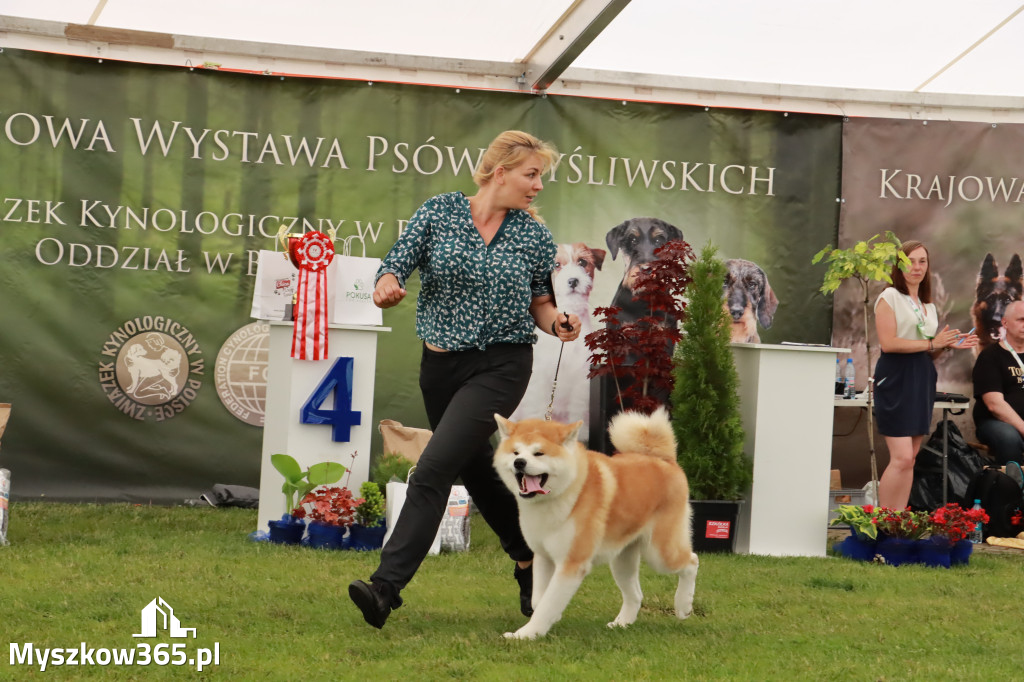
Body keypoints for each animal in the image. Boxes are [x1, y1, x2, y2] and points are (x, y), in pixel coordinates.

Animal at [491, 409, 700, 638]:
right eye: (515, 452)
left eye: (539, 453)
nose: (519, 462)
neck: (567, 491)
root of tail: (664, 459)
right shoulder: (544, 557)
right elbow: (540, 599)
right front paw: (549, 619)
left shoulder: (572, 564)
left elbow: (547, 604)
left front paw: (526, 635)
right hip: (622, 560)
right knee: (635, 595)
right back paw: (622, 623)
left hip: (659, 553)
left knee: (692, 561)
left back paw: (683, 605)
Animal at [509, 241, 602, 438]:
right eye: (557, 265)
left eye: (582, 262)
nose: (573, 280)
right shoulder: (539, 379)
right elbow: (536, 408)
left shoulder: (581, 381)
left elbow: (578, 411)